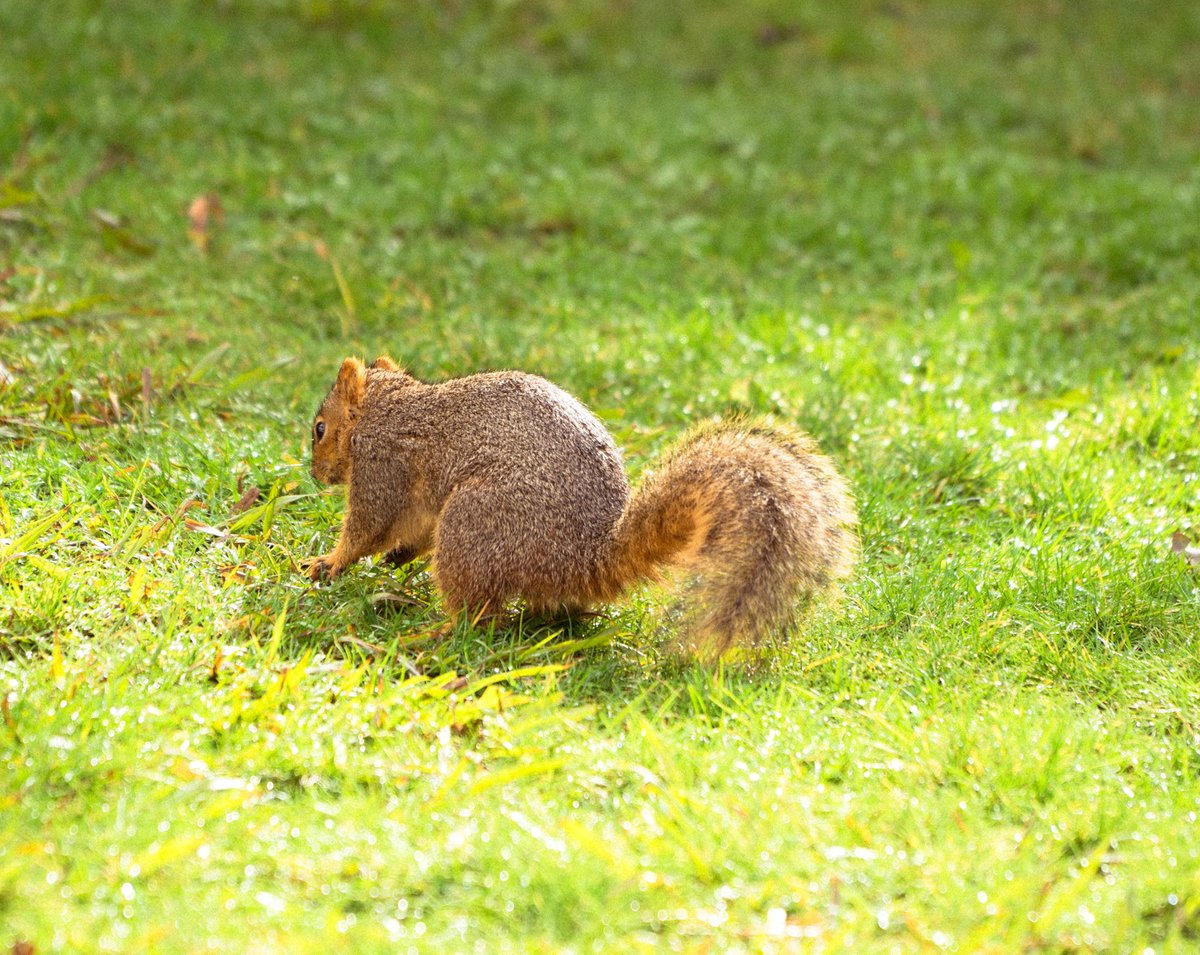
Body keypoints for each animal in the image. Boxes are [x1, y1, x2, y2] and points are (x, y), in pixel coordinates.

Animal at [304, 356, 858, 658]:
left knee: (481, 616)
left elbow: (368, 526)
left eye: (319, 429)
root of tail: (584, 557)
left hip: (474, 520)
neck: (388, 406)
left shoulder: (383, 462)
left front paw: (329, 562)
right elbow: (412, 530)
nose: (315, 473)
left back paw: (435, 631)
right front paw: (398, 556)